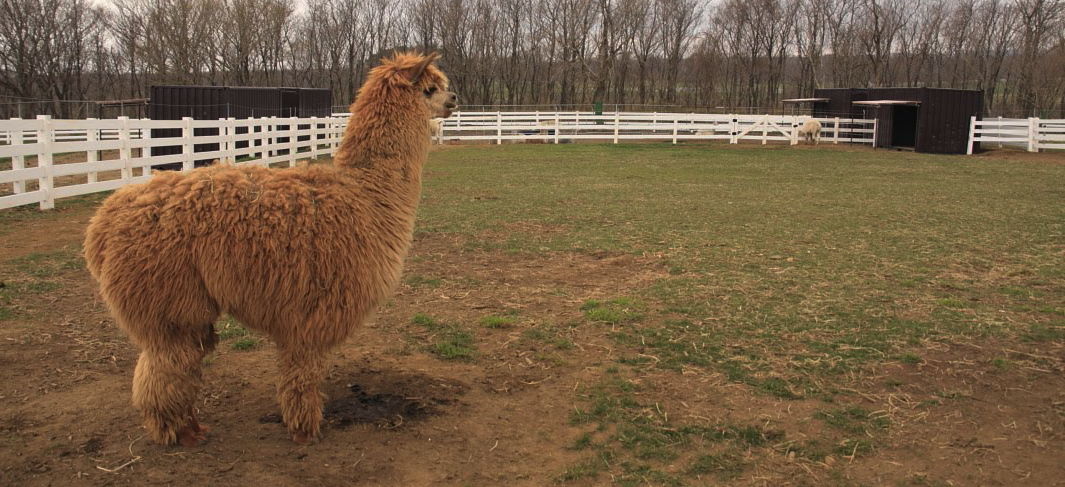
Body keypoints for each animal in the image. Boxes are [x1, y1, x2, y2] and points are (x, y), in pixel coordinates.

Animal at [83, 52, 457, 446]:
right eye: (430, 89)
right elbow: (302, 375)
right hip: (169, 300)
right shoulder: (312, 311)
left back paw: (191, 427)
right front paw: (306, 430)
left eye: (442, 85)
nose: (454, 99)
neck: (365, 197)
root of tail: (102, 223)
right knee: (168, 362)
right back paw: (179, 432)